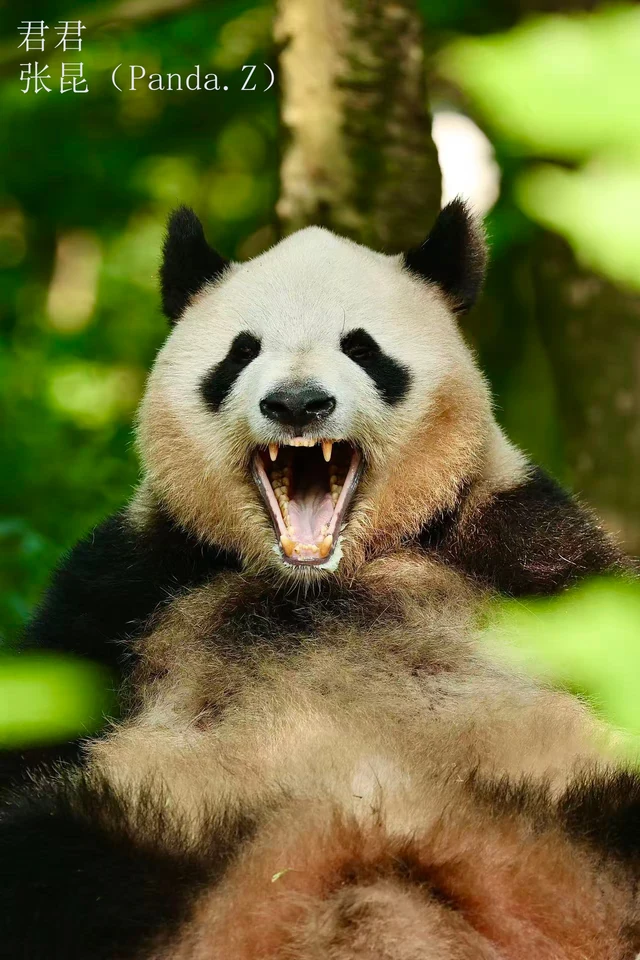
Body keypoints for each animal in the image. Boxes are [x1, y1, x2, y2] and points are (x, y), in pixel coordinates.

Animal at [2, 200, 639, 959]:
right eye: (241, 352)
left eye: (361, 348)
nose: (298, 404)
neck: (319, 577)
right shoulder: (138, 574)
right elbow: (43, 706)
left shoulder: (525, 545)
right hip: (157, 819)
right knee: (57, 850)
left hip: (573, 793)